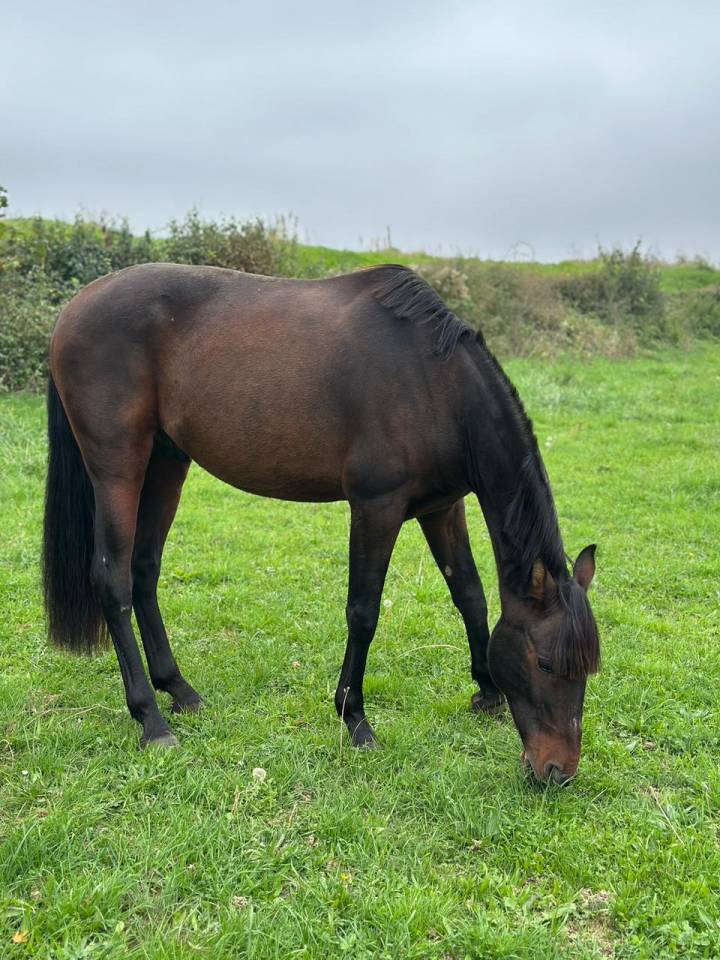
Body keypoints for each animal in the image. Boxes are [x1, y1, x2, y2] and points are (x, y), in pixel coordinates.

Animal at [43, 262, 599, 783]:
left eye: (588, 666)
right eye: (546, 663)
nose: (558, 771)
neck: (435, 384)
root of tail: (75, 307)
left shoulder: (442, 507)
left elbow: (469, 594)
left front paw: (486, 691)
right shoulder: (377, 507)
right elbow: (364, 612)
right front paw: (355, 718)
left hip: (166, 461)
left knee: (144, 571)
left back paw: (178, 689)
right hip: (119, 465)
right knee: (112, 580)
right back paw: (152, 720)